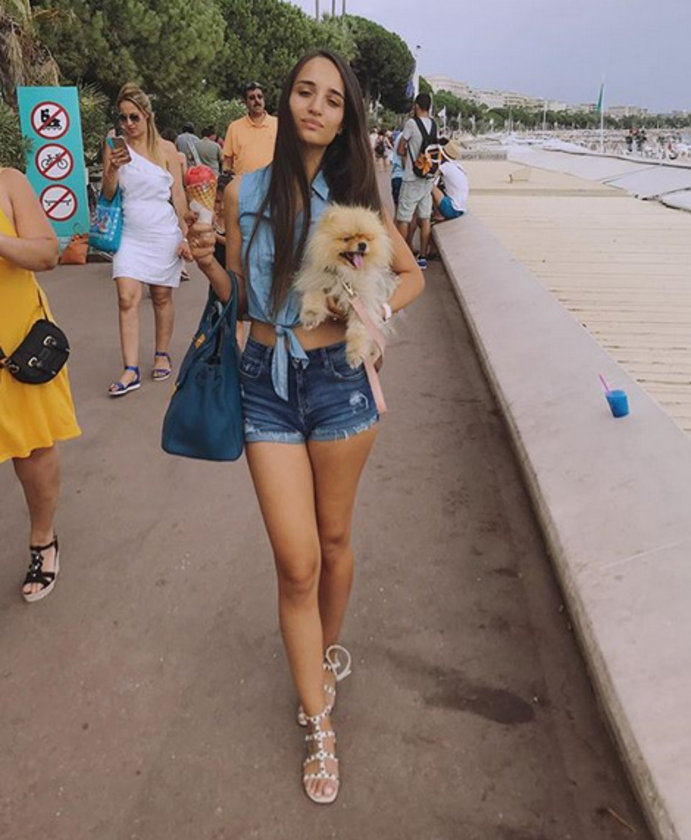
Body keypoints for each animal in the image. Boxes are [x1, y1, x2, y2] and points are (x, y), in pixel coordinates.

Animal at [294, 204, 398, 367]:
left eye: (366, 238)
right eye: (347, 238)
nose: (362, 244)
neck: (345, 275)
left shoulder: (364, 304)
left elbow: (358, 331)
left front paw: (355, 354)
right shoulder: (320, 279)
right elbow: (313, 296)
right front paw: (311, 315)